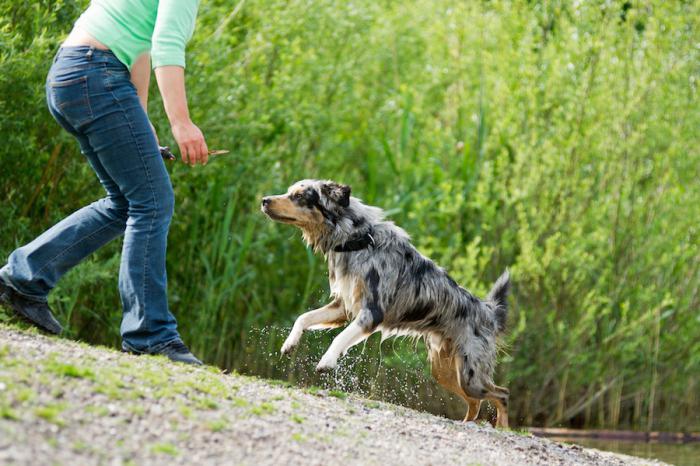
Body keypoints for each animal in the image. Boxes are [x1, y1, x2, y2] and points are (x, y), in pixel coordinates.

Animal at [260, 180, 512, 428]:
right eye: (289, 192)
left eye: (299, 196)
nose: (263, 200)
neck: (356, 242)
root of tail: (488, 312)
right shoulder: (342, 307)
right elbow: (303, 318)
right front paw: (289, 343)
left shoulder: (371, 313)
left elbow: (339, 338)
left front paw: (327, 360)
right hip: (446, 371)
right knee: (476, 402)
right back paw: (466, 423)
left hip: (471, 375)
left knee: (502, 394)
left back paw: (502, 428)